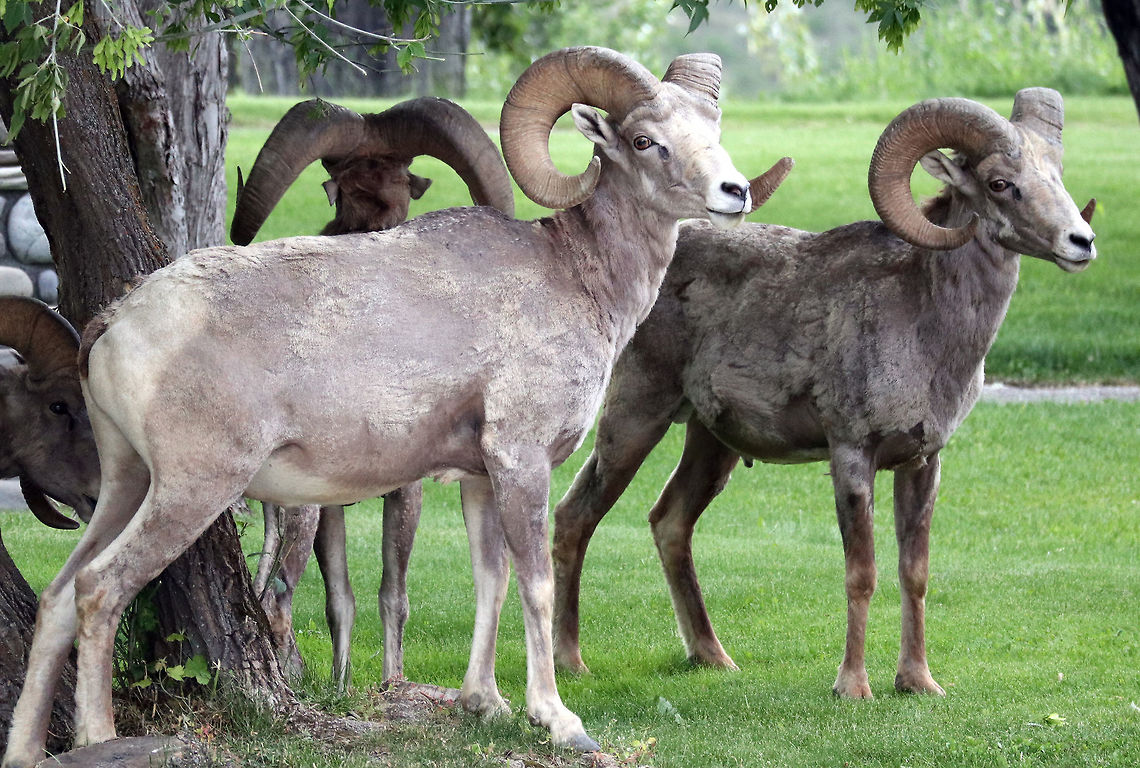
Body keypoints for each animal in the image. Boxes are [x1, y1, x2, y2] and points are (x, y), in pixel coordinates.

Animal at [230, 95, 516, 689]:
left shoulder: (364, 501)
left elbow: (360, 598)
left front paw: (355, 685)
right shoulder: (382, 495)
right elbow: (375, 598)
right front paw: (379, 685)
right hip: (296, 510)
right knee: (277, 599)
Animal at [548, 88, 1096, 700]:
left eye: (1056, 174)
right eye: (1001, 182)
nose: (1081, 242)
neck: (926, 326)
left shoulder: (922, 463)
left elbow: (914, 574)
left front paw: (918, 683)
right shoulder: (853, 455)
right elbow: (862, 574)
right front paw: (853, 687)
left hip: (711, 445)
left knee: (670, 523)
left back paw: (714, 658)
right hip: (636, 419)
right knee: (574, 517)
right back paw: (570, 662)